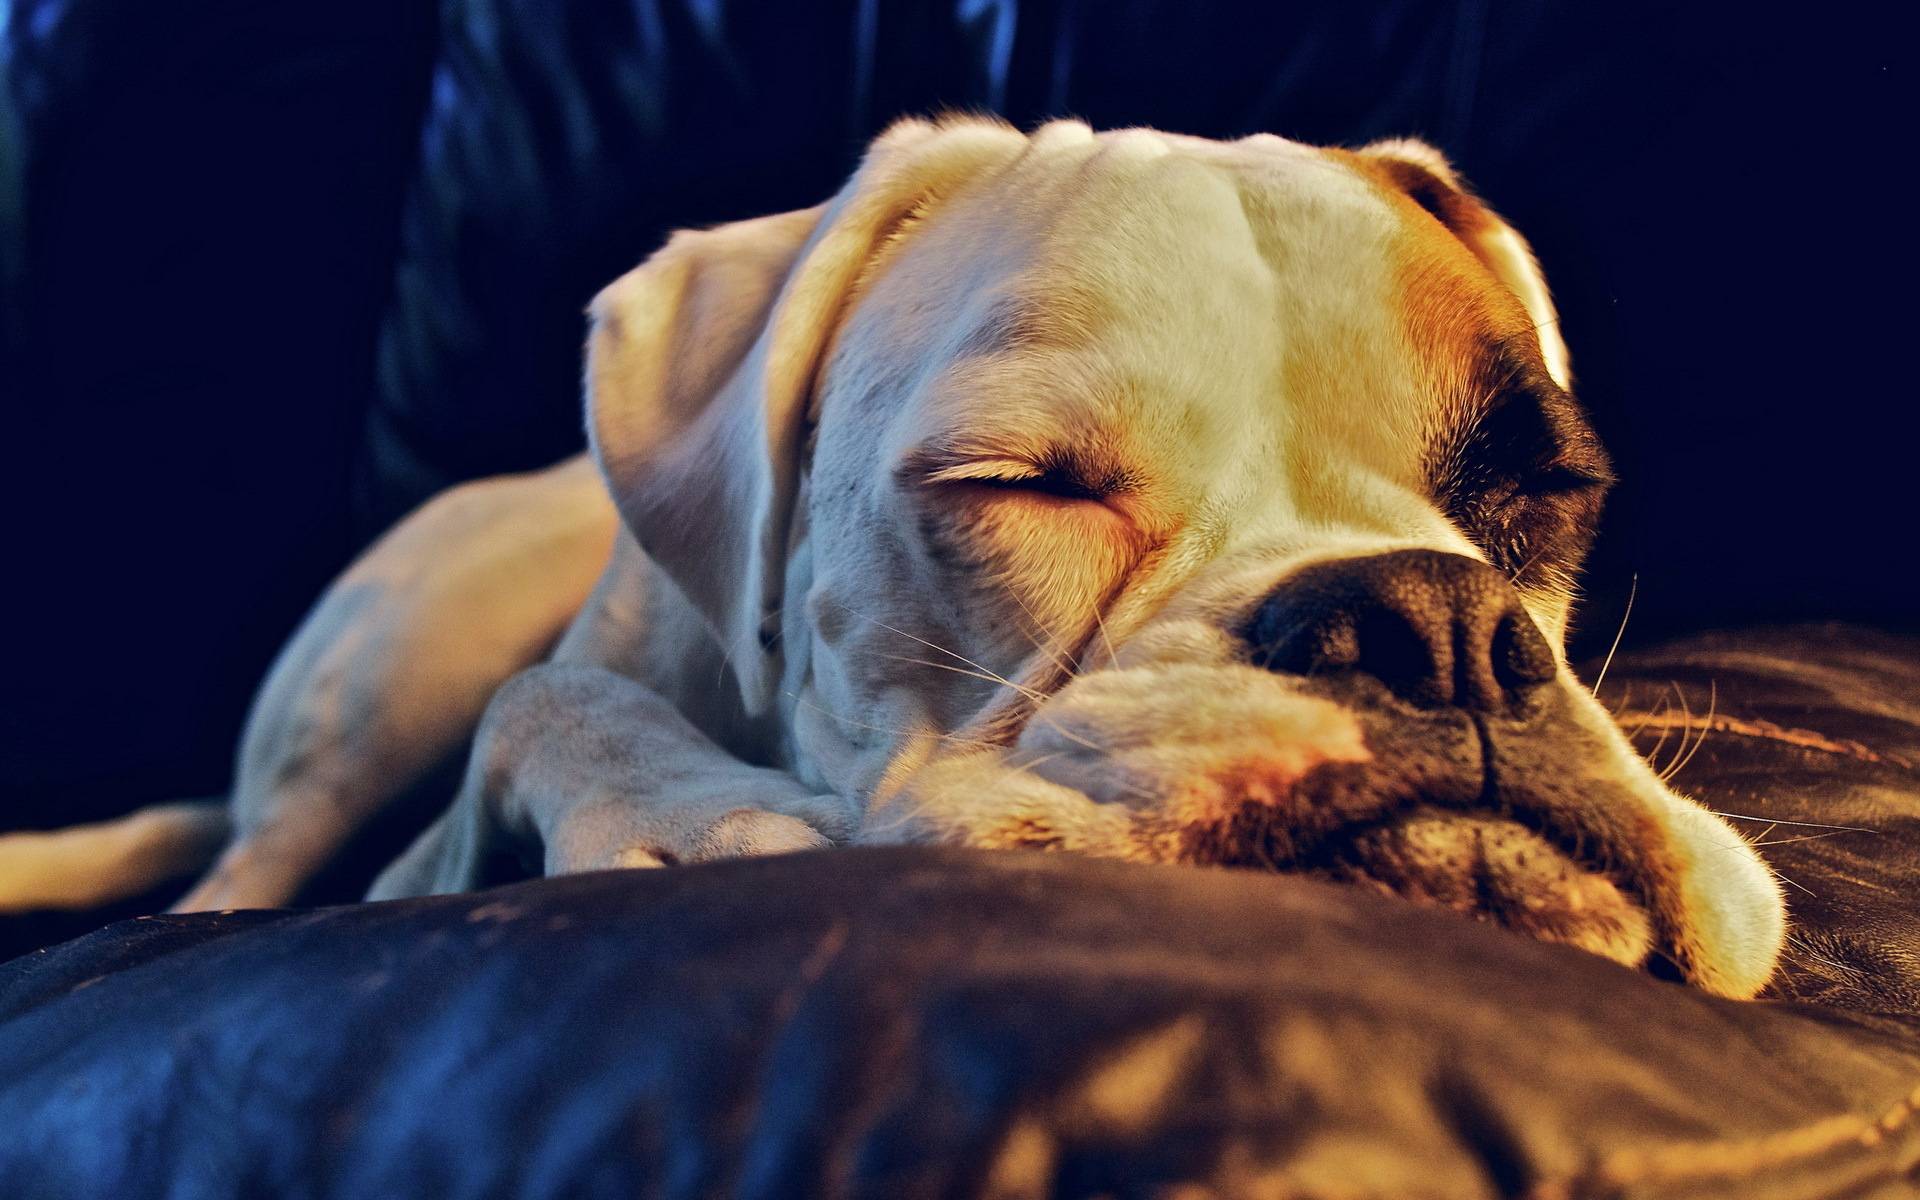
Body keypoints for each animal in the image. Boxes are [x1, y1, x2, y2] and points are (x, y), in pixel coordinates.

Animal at [7, 119, 1789, 998]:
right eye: (1017, 486)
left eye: (1552, 487)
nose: (1437, 619)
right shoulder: (421, 848)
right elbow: (552, 697)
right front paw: (695, 814)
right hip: (397, 668)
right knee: (237, 875)